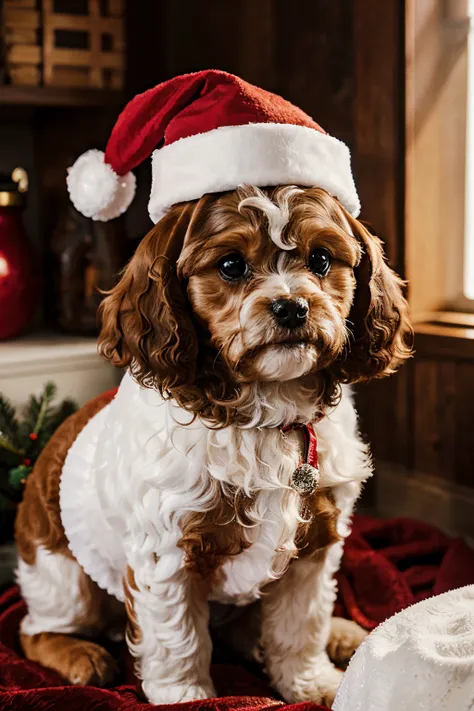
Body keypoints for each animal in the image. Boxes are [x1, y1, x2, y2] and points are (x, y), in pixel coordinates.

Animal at [14, 186, 412, 708]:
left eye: (322, 259)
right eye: (231, 266)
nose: (292, 307)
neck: (269, 410)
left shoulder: (315, 545)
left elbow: (299, 626)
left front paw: (310, 682)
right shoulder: (167, 553)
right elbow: (180, 640)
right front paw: (188, 696)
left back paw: (340, 634)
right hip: (66, 579)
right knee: (32, 629)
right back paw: (81, 655)